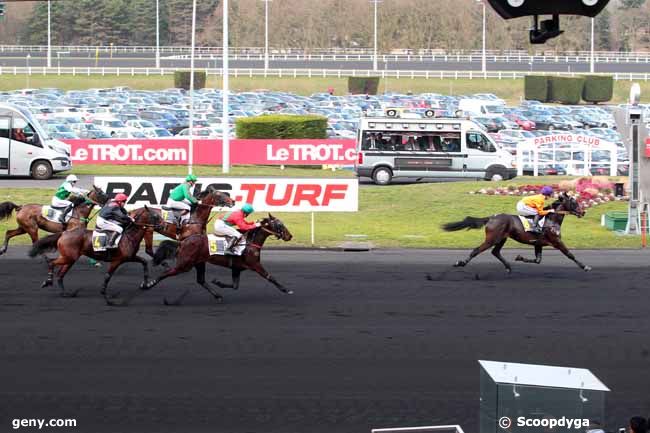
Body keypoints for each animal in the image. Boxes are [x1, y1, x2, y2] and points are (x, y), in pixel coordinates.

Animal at [28, 206, 162, 296]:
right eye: (155, 216)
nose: (163, 225)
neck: (129, 235)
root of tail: (64, 233)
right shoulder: (117, 260)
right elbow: (108, 275)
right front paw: (103, 291)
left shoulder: (130, 257)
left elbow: (144, 262)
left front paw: (146, 284)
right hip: (69, 257)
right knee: (52, 263)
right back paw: (48, 281)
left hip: (70, 258)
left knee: (61, 274)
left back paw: (65, 293)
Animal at [107, 214, 294, 306]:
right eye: (279, 224)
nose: (290, 236)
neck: (249, 242)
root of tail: (184, 241)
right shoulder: (254, 265)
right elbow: (270, 277)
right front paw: (286, 289)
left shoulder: (237, 268)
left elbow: (234, 285)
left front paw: (218, 282)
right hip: (185, 264)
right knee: (167, 273)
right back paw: (148, 284)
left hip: (199, 262)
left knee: (201, 280)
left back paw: (217, 295)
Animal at [442, 194, 588, 272]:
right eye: (574, 202)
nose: (583, 212)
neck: (551, 219)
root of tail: (492, 217)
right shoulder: (556, 241)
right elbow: (570, 254)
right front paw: (585, 266)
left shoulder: (538, 244)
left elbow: (537, 260)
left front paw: (519, 257)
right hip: (492, 239)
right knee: (476, 250)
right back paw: (460, 263)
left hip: (502, 238)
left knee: (495, 252)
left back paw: (508, 267)